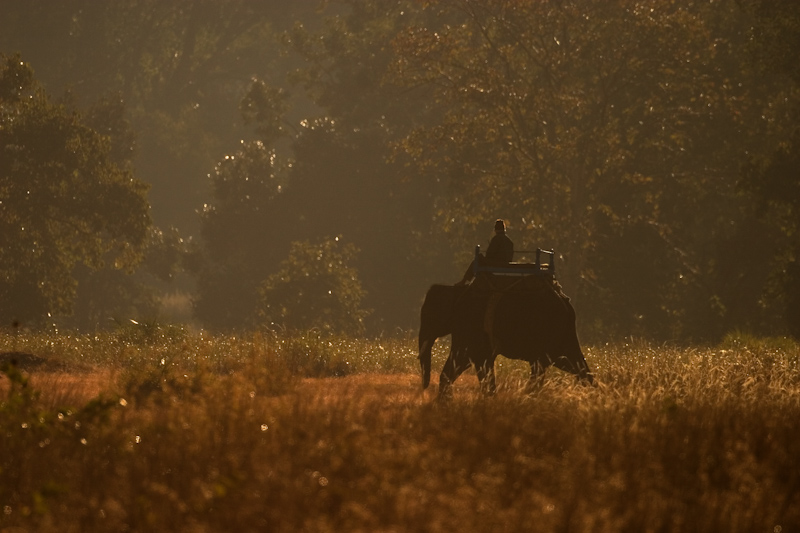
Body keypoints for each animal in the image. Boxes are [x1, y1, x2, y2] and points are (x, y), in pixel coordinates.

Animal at [418, 274, 592, 394]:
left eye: (427, 316)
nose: (424, 388)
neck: (457, 289)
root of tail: (566, 303)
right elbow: (481, 362)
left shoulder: (469, 324)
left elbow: (465, 359)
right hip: (563, 334)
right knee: (575, 364)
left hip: (546, 331)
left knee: (541, 366)